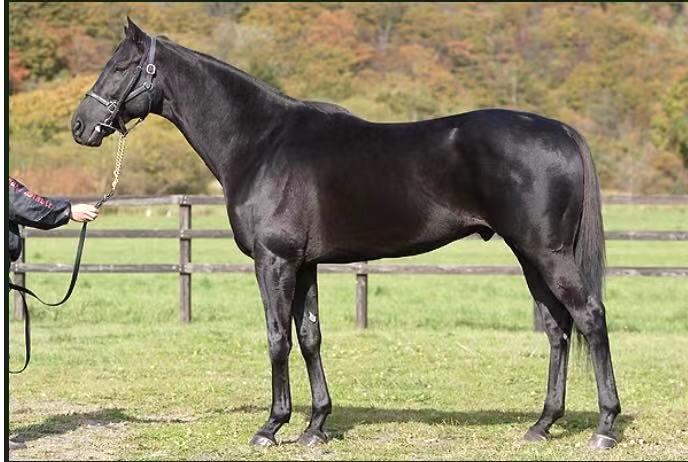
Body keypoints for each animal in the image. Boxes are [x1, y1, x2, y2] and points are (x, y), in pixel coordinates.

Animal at [71, 18, 621, 449]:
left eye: (119, 66)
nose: (80, 125)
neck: (262, 142)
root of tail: (560, 131)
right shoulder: (304, 264)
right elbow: (310, 336)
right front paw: (315, 426)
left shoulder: (274, 261)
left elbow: (277, 337)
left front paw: (271, 427)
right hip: (531, 257)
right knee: (557, 328)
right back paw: (542, 425)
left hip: (547, 253)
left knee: (590, 318)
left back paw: (604, 428)